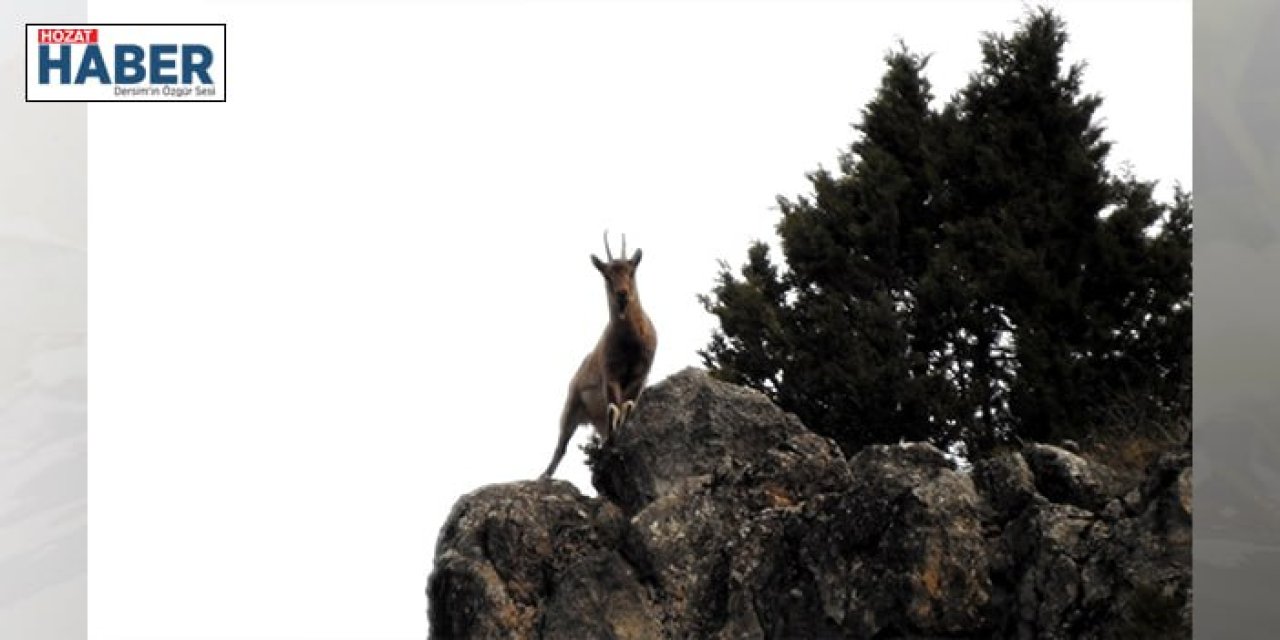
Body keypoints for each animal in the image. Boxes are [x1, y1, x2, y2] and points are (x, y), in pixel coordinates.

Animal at [540, 232, 660, 478]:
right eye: (606, 275)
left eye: (632, 271)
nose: (622, 295)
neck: (630, 344)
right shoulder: (610, 374)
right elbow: (614, 408)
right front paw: (614, 447)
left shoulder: (640, 375)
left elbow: (626, 408)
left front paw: (616, 446)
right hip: (572, 404)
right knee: (561, 446)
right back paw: (544, 475)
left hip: (593, 417)